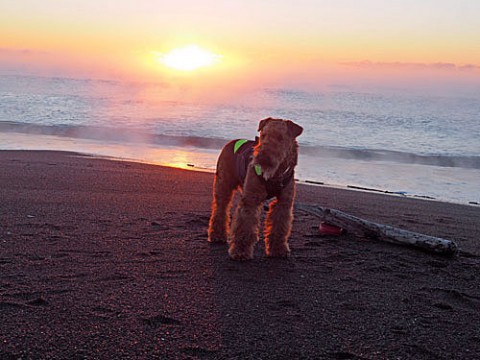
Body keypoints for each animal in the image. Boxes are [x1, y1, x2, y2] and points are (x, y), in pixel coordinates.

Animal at [207, 119, 304, 262]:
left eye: (280, 138)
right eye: (263, 135)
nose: (262, 158)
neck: (276, 175)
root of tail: (230, 142)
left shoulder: (284, 203)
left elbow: (279, 227)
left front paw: (278, 250)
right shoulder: (251, 200)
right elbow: (244, 227)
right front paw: (240, 252)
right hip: (223, 186)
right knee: (220, 210)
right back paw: (217, 235)